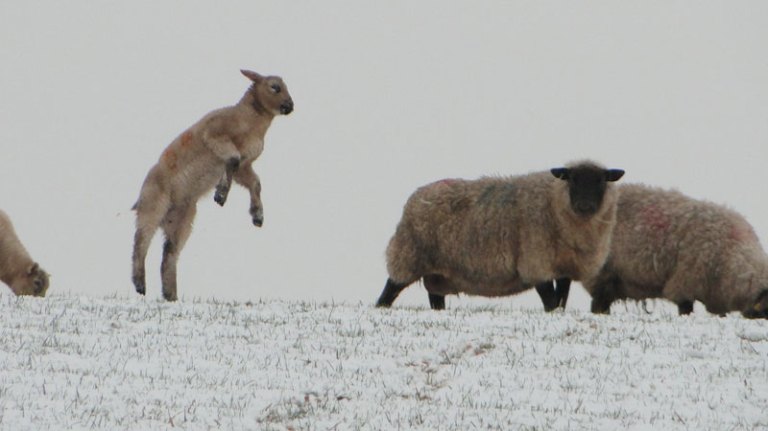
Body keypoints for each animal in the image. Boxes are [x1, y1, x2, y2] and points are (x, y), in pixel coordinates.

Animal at [132, 69, 294, 301]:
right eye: (274, 86)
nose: (290, 106)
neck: (250, 121)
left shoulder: (245, 165)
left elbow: (255, 183)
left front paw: (257, 216)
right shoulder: (215, 137)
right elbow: (233, 159)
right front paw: (221, 194)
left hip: (182, 218)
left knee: (169, 254)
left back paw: (170, 295)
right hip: (153, 205)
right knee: (141, 243)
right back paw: (139, 284)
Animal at [375, 160, 625, 310]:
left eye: (601, 180)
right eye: (572, 179)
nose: (585, 206)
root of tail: (416, 196)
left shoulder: (563, 267)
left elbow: (561, 299)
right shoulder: (535, 262)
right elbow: (550, 300)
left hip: (437, 271)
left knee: (435, 298)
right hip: (409, 255)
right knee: (391, 289)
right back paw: (381, 308)